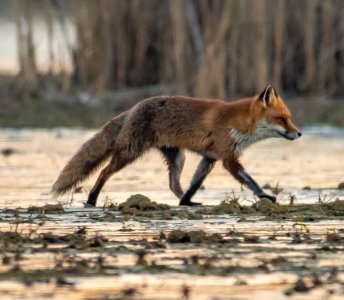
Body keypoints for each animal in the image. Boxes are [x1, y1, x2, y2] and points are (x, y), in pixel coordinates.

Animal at [51, 85, 300, 206]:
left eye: (289, 117)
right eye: (281, 119)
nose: (298, 133)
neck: (237, 123)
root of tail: (133, 107)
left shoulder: (210, 157)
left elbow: (195, 183)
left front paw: (186, 201)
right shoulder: (228, 158)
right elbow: (250, 181)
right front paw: (265, 196)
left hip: (177, 157)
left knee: (174, 184)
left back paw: (183, 201)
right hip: (130, 152)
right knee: (103, 172)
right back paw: (91, 200)